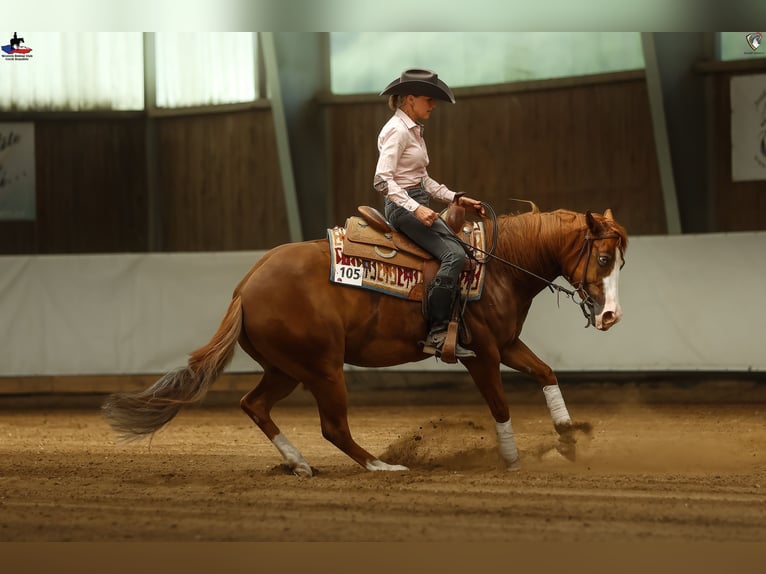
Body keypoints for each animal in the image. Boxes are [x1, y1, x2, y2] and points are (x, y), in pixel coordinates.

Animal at [102, 203, 627, 476]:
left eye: (620, 261)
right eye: (603, 259)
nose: (611, 315)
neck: (495, 264)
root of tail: (246, 285)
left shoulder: (508, 344)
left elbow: (546, 372)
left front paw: (568, 437)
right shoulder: (480, 353)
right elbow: (499, 404)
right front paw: (513, 461)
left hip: (287, 369)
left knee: (254, 405)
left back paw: (299, 464)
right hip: (322, 368)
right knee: (333, 427)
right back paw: (379, 467)